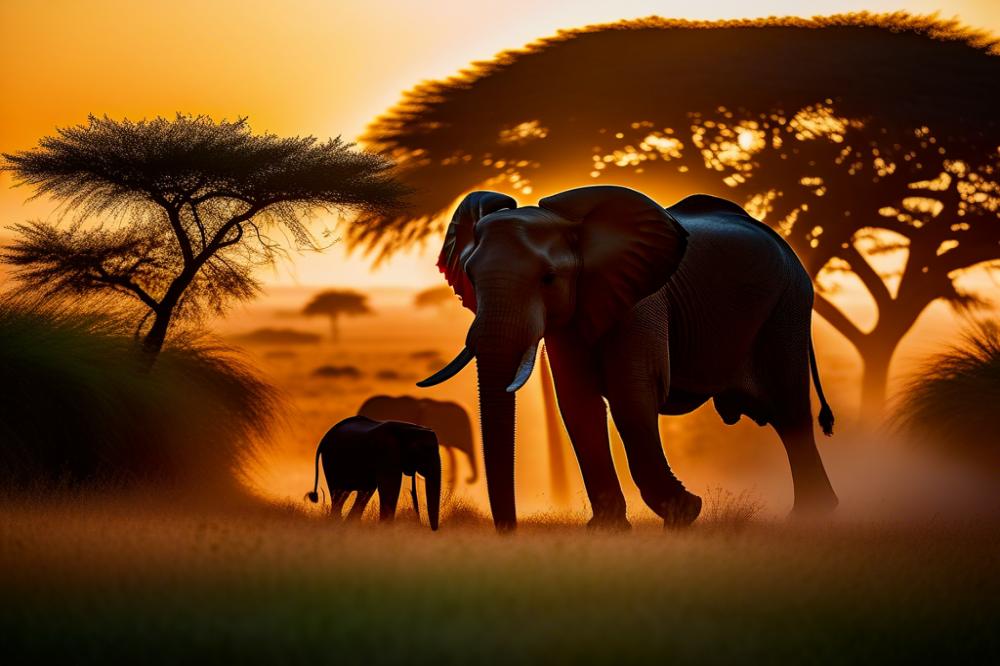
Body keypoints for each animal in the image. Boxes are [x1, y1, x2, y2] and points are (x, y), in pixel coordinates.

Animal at [306, 415, 441, 530]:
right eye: (423, 452)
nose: (432, 530)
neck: (409, 429)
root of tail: (325, 438)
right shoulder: (386, 453)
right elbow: (390, 486)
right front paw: (386, 528)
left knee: (363, 493)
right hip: (332, 463)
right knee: (338, 495)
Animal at [418, 185, 838, 532]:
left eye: (549, 278)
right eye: (470, 277)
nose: (509, 530)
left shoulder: (640, 300)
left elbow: (631, 397)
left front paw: (686, 513)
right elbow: (577, 403)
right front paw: (608, 529)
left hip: (787, 308)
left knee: (790, 414)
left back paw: (812, 518)